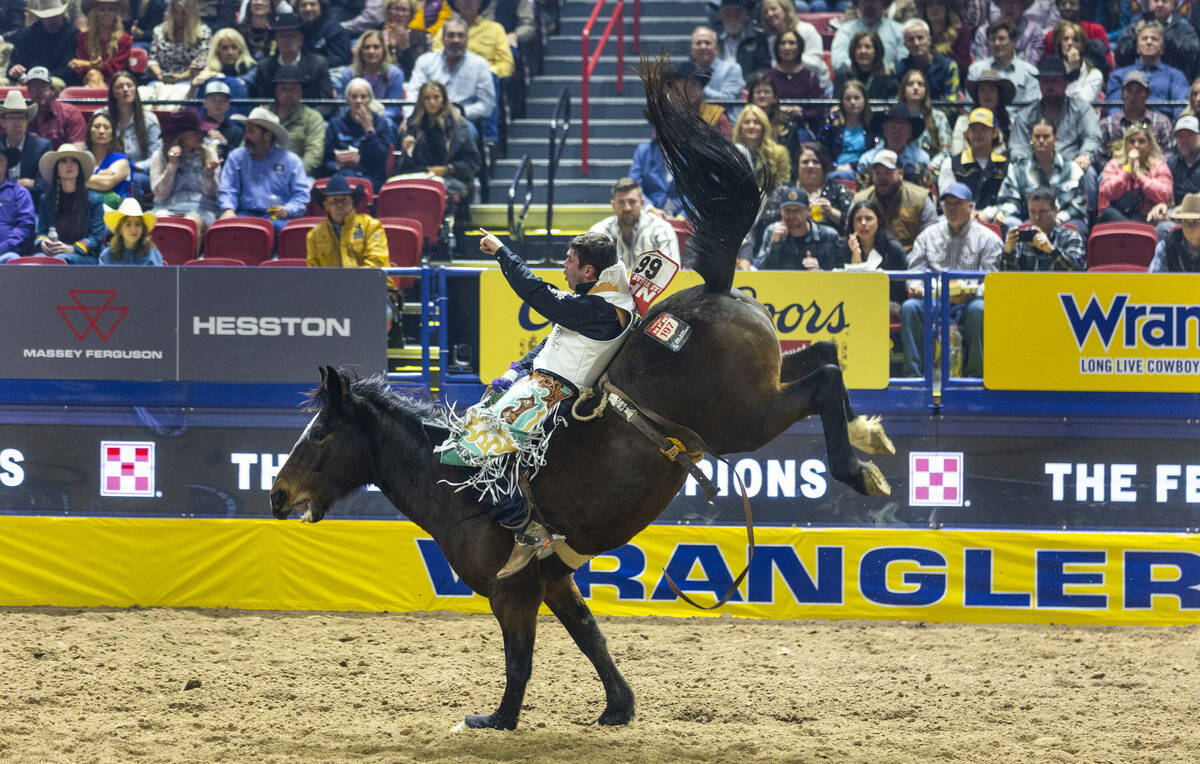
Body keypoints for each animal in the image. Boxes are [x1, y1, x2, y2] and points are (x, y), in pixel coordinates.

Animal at [270, 58, 892, 729]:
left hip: (746, 417)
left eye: (321, 434)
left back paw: (859, 470)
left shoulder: (512, 589)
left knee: (822, 382)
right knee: (825, 357)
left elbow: (520, 658)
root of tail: (714, 288)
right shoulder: (555, 579)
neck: (453, 482)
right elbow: (590, 635)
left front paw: (497, 719)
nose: (277, 495)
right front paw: (618, 706)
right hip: (764, 386)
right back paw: (869, 438)